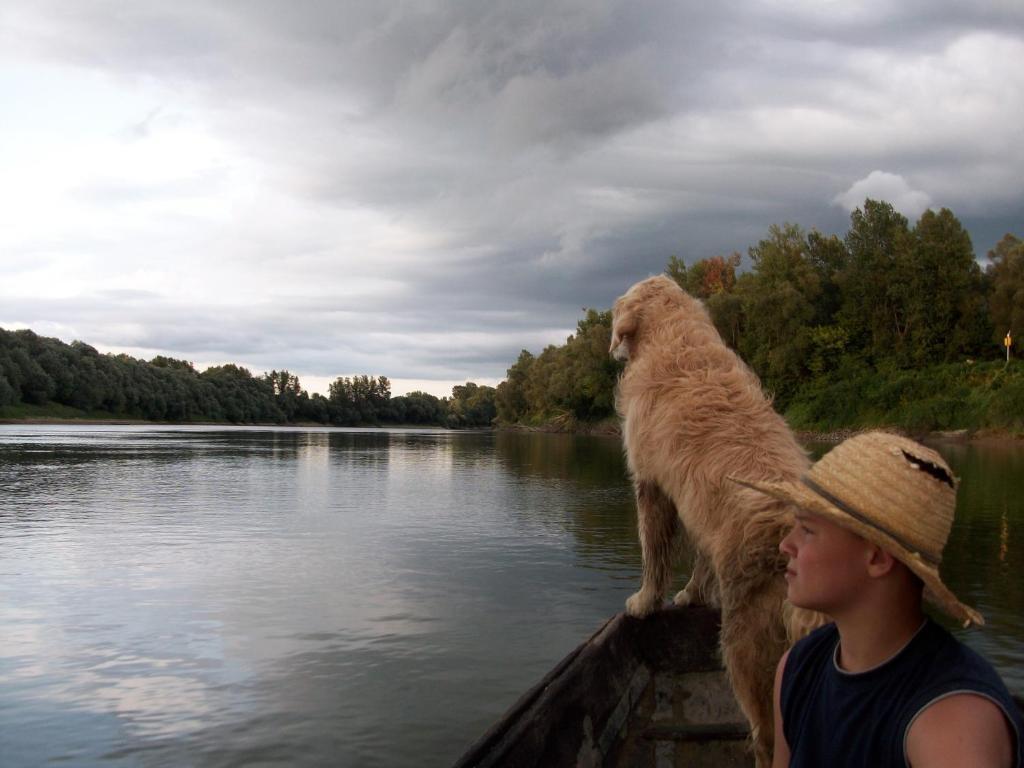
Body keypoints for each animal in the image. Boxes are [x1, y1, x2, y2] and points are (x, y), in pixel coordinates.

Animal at [610, 276, 819, 768]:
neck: (674, 338)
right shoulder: (695, 506)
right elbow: (701, 557)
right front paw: (691, 594)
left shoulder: (652, 485)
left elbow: (653, 553)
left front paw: (645, 601)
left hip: (750, 652)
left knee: (765, 736)